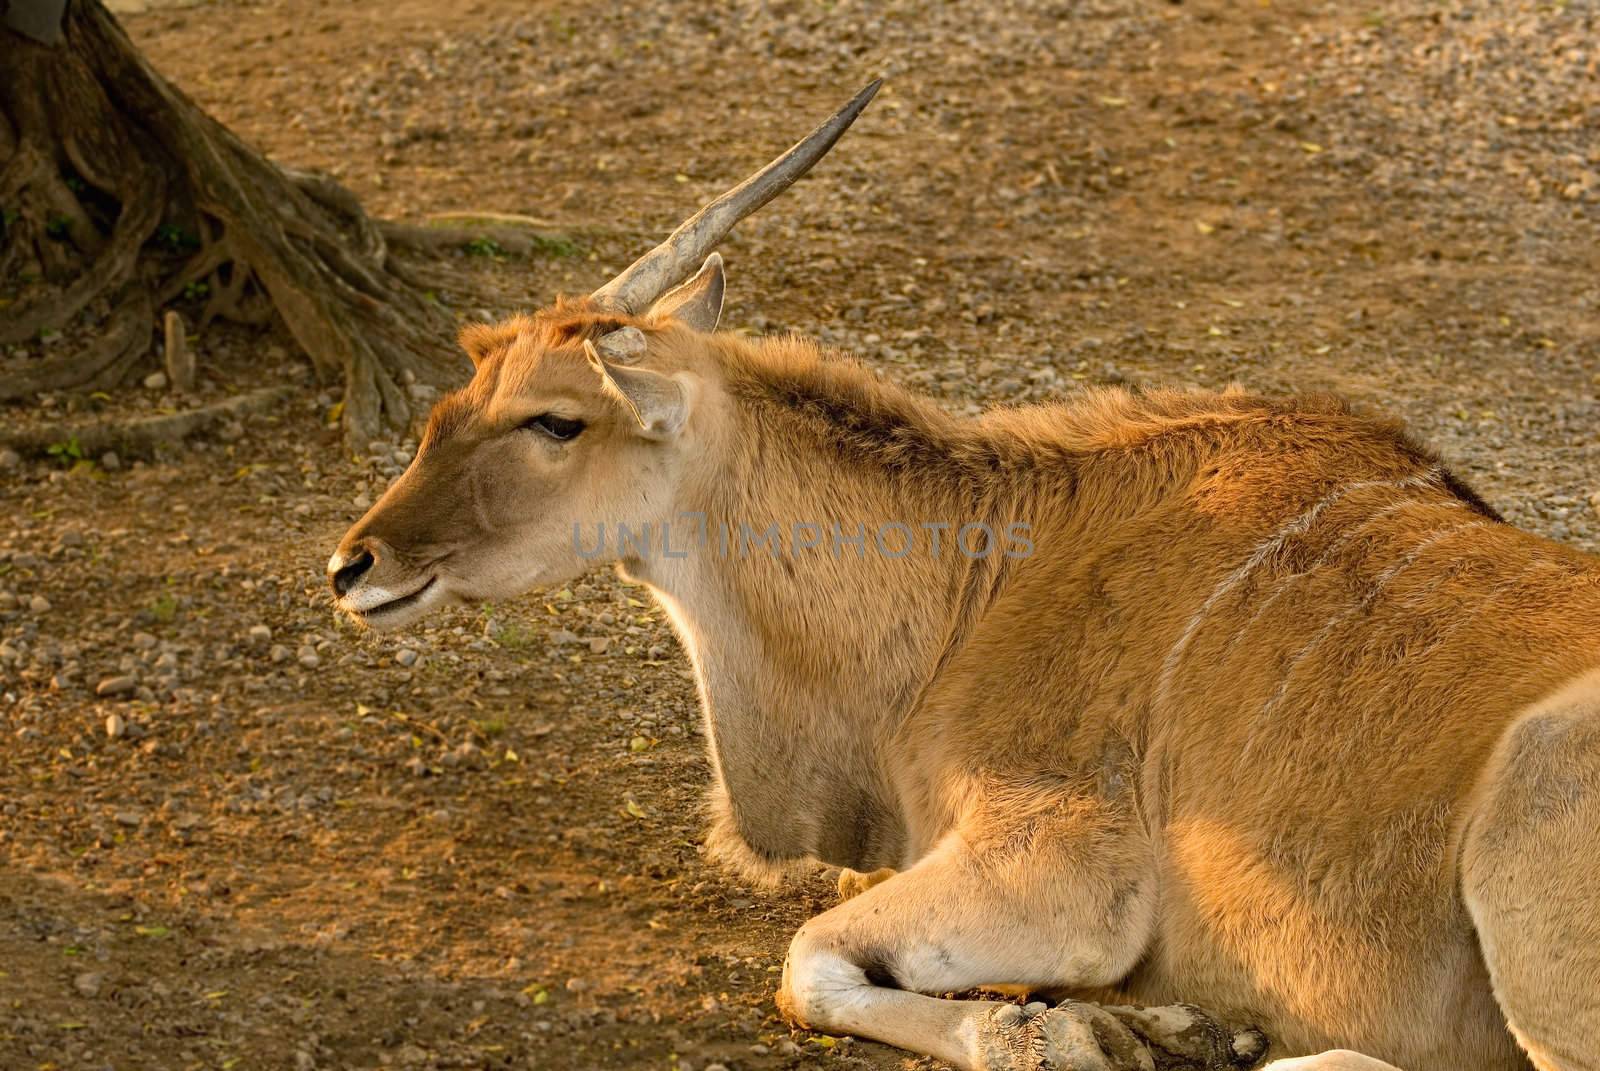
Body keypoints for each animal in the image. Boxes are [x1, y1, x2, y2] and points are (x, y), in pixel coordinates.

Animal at [328, 85, 1600, 1069]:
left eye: (554, 420)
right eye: (461, 392)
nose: (354, 564)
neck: (978, 584)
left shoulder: (1066, 881)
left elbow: (810, 962)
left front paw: (1085, 1032)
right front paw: (1155, 1024)